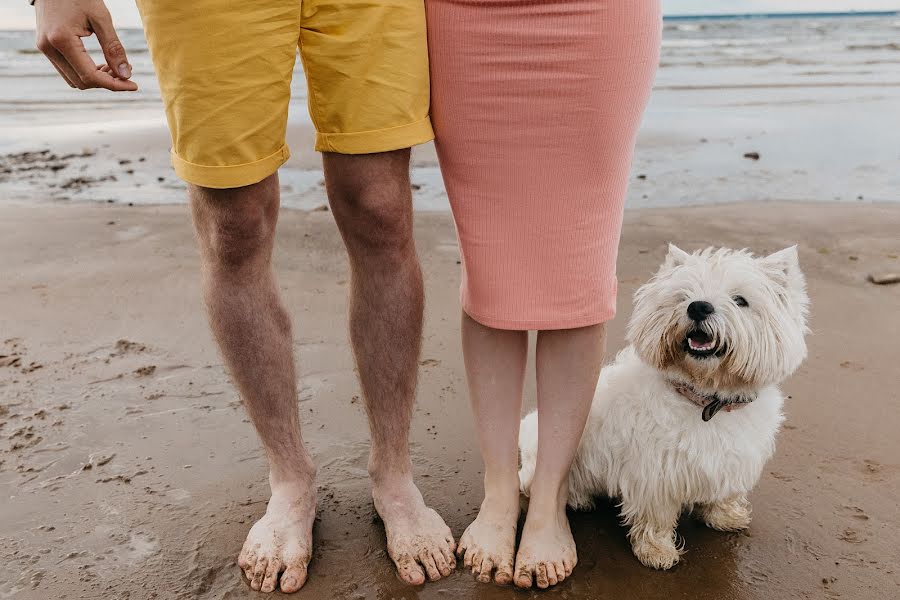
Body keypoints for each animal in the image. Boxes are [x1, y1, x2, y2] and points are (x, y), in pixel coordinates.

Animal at [520, 245, 808, 572]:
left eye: (741, 300)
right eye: (684, 295)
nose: (698, 307)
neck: (707, 401)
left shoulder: (732, 459)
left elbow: (724, 492)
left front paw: (726, 516)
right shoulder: (655, 474)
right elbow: (654, 517)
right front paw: (657, 551)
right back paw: (578, 498)